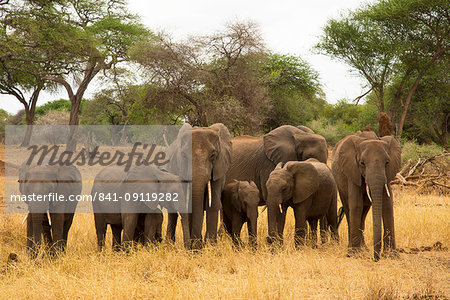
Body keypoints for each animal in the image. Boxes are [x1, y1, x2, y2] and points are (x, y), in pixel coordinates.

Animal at [330, 131, 400, 260]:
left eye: (387, 162)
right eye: (362, 163)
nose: (376, 258)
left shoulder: (387, 174)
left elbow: (387, 205)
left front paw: (391, 255)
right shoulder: (352, 171)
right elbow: (356, 205)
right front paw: (354, 254)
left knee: (364, 212)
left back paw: (364, 249)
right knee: (349, 209)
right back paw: (354, 249)